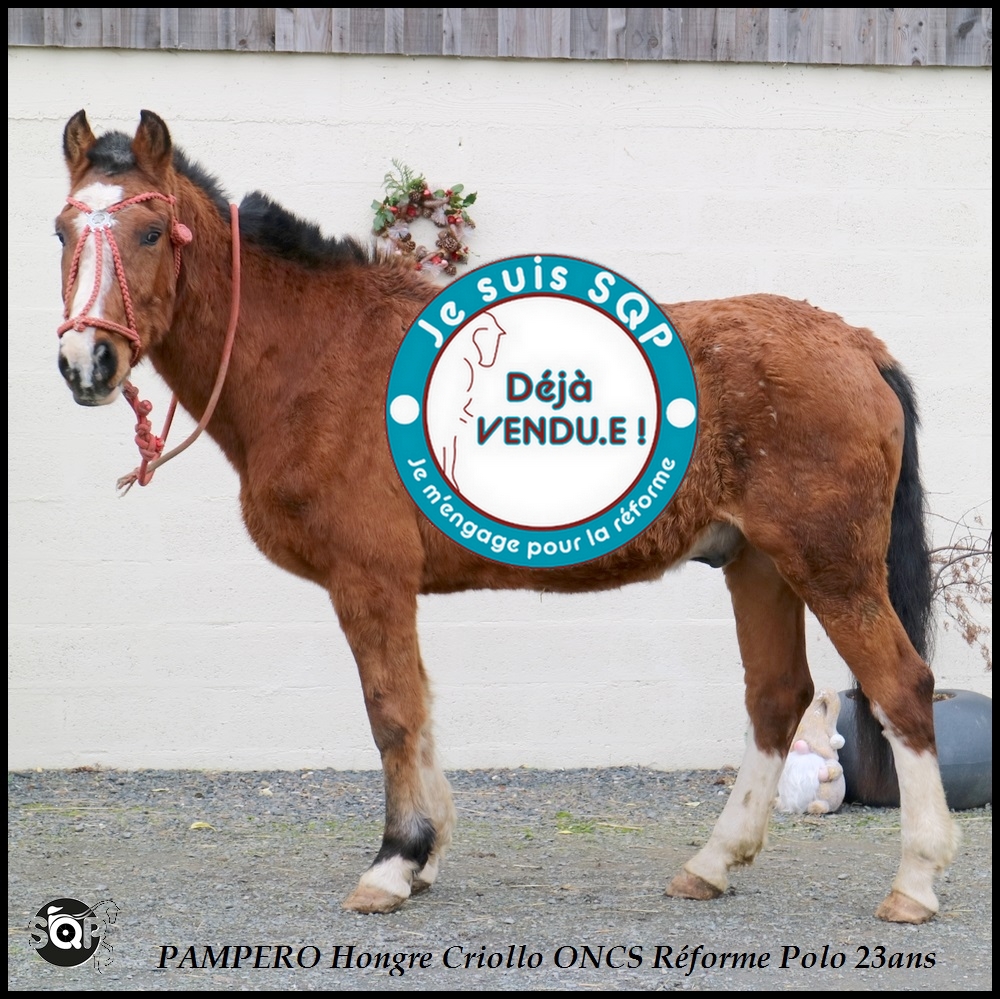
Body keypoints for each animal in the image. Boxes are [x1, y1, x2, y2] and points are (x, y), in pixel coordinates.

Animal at [54, 110, 958, 924]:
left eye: (149, 231)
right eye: (62, 229)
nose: (84, 362)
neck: (323, 354)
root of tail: (856, 342)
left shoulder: (368, 580)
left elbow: (392, 711)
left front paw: (395, 861)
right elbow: (419, 708)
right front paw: (423, 856)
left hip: (831, 565)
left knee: (901, 688)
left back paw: (914, 881)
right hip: (759, 564)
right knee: (776, 697)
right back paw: (711, 862)